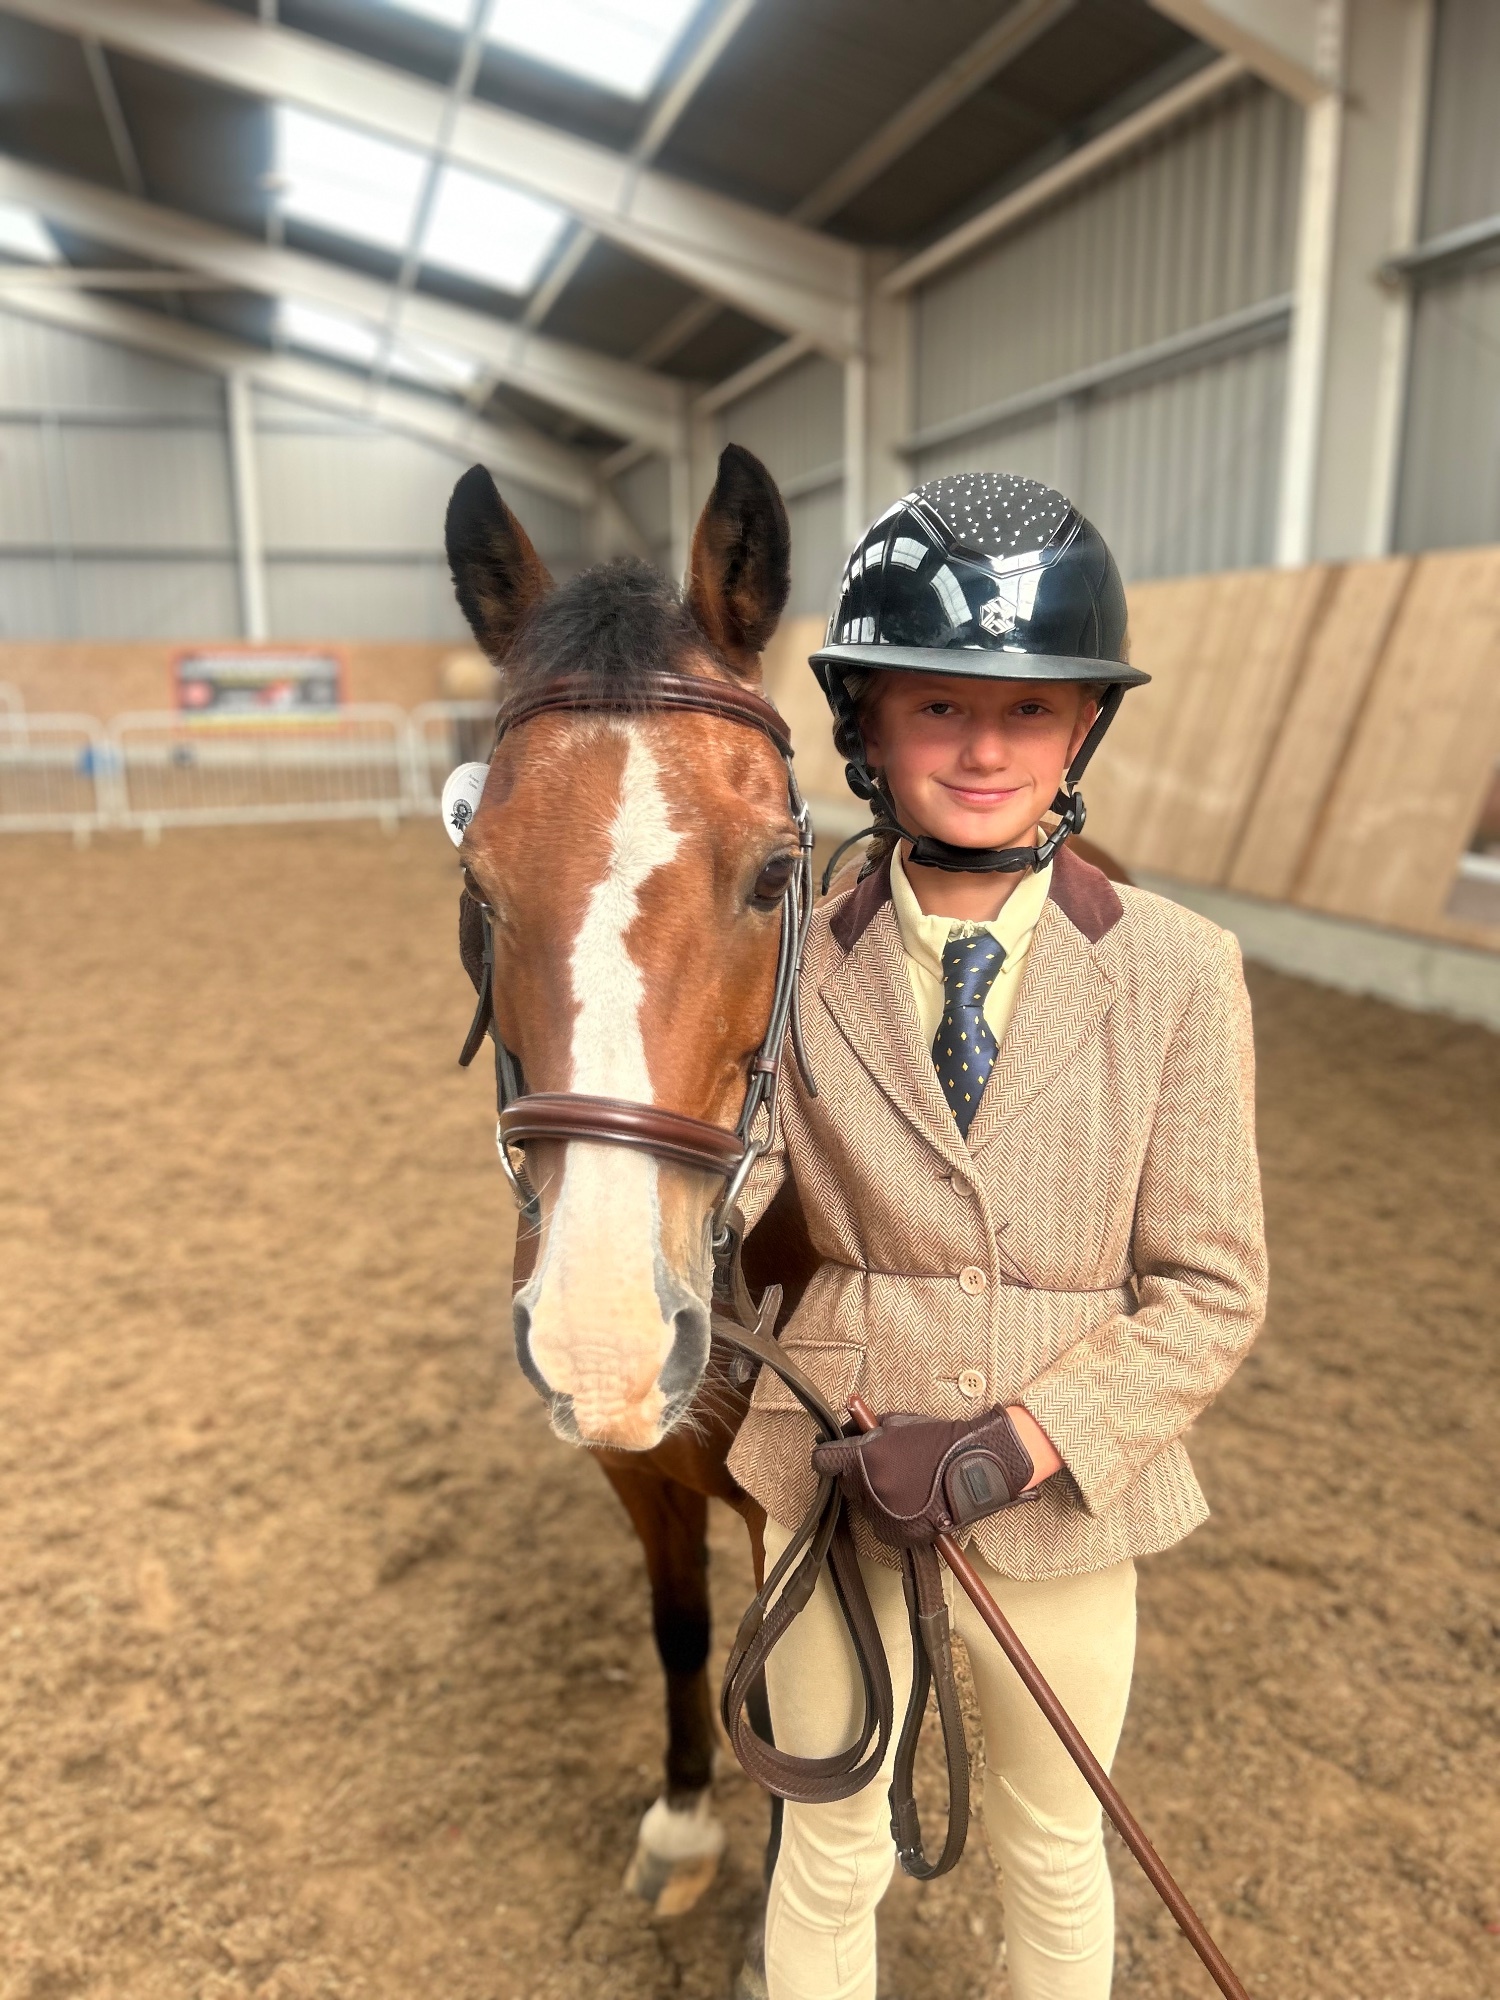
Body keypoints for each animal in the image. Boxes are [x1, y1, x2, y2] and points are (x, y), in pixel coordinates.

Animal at [444, 446, 1130, 1968]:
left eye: (772, 872)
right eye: (478, 880)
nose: (602, 1332)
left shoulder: (797, 1495)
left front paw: (770, 1902)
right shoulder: (641, 1467)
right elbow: (685, 1633)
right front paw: (681, 1828)